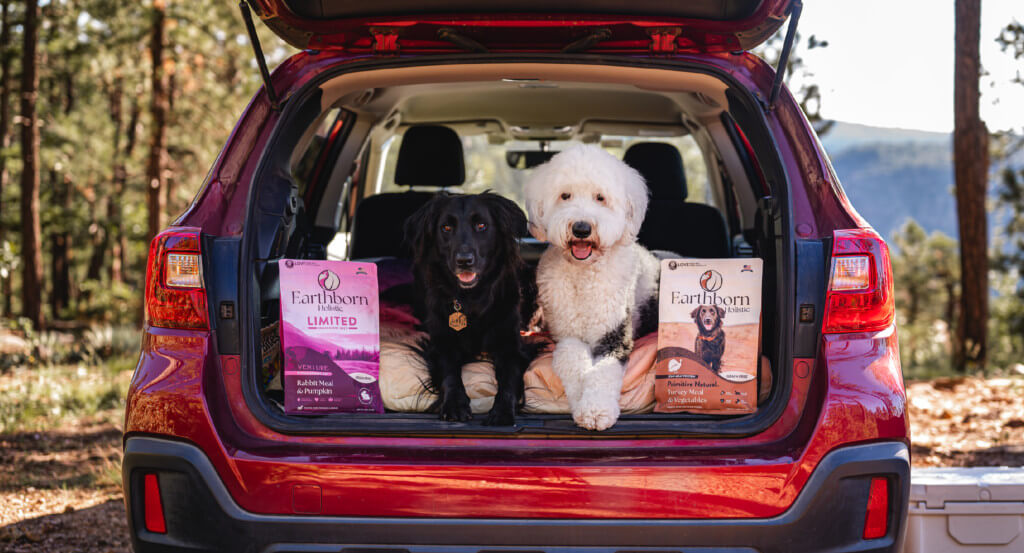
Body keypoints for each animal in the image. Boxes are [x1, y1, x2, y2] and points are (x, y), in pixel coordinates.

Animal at [401, 192, 532, 426]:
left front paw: (502, 411)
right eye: (446, 228)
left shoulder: (510, 345)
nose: (464, 261)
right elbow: (450, 372)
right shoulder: (441, 343)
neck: (471, 298)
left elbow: (509, 377)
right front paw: (455, 404)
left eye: (481, 225)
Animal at [524, 144, 659, 430]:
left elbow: (603, 373)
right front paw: (580, 401)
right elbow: (572, 359)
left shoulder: (615, 335)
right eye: (565, 195)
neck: (584, 275)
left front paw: (597, 410)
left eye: (600, 197)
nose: (582, 228)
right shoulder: (567, 335)